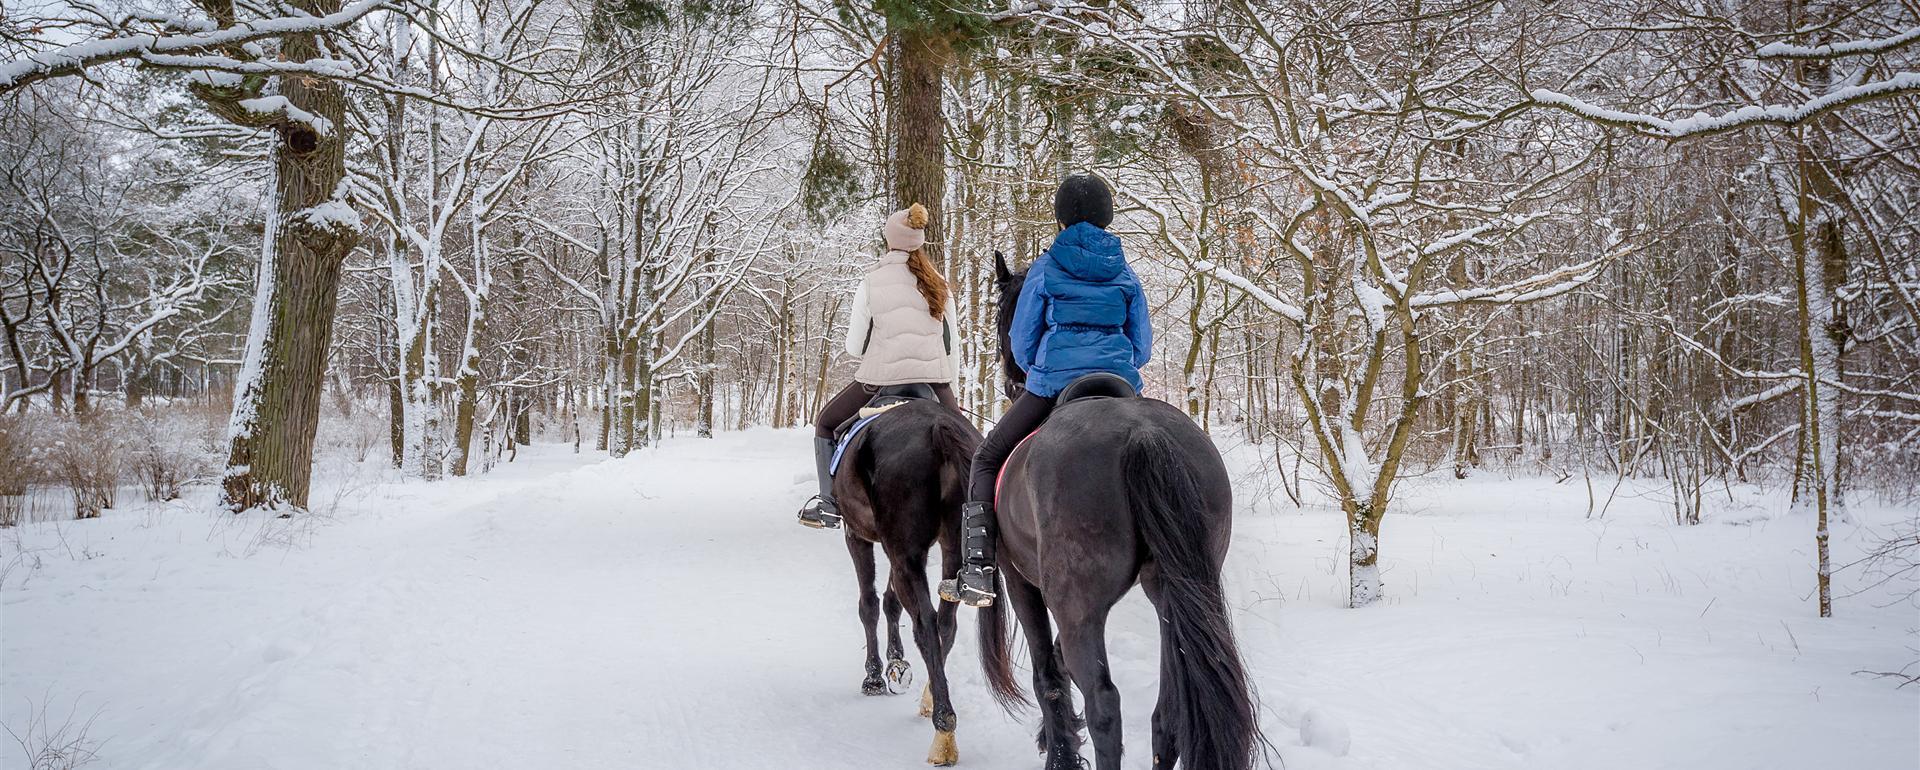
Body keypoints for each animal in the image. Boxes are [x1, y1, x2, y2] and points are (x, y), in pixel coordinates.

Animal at [837, 395, 983, 760]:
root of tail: (937, 427)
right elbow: (891, 603)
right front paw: (896, 664)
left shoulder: (857, 535)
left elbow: (870, 604)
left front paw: (875, 676)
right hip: (949, 548)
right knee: (944, 622)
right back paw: (930, 699)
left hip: (905, 552)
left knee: (925, 623)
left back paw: (944, 729)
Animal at [975, 255, 1259, 768]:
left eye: (1005, 312)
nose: (1010, 377)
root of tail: (1143, 435)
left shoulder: (1020, 579)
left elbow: (1048, 675)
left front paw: (1060, 748)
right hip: (1172, 591)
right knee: (1169, 712)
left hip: (1078, 604)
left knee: (1104, 702)